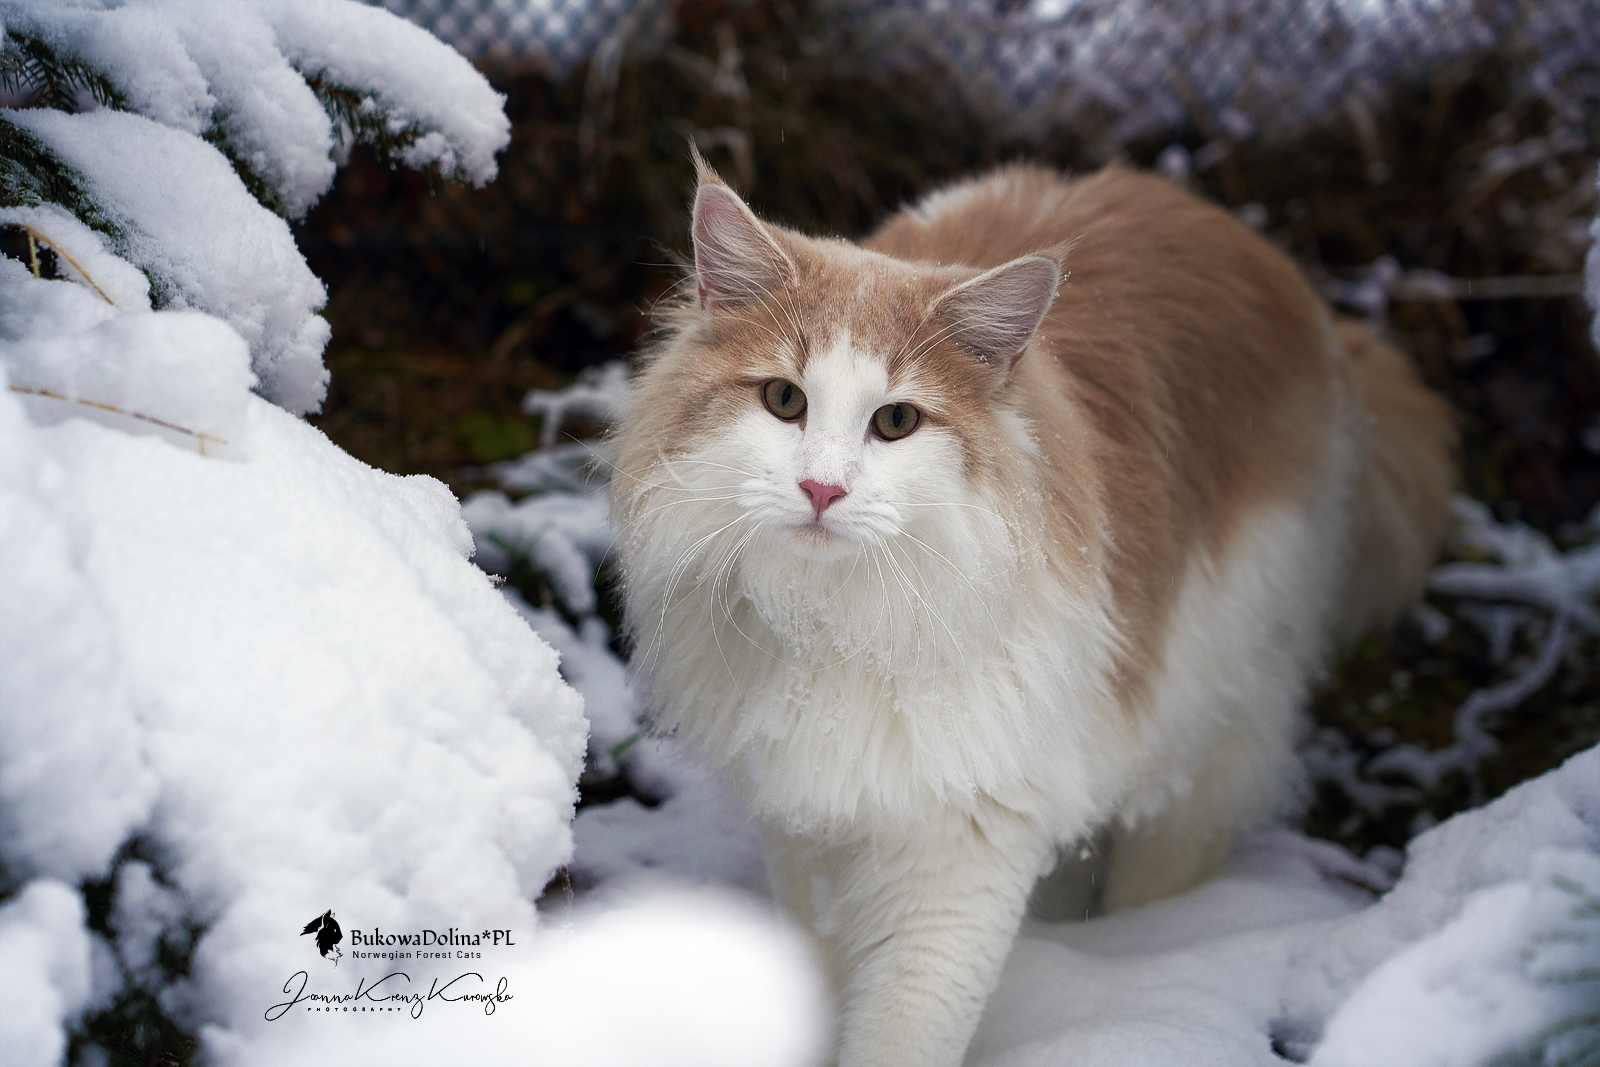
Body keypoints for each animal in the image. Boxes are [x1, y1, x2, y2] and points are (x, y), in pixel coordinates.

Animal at [610, 153, 1455, 1067]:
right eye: (784, 401)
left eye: (896, 421)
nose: (822, 489)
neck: (845, 623)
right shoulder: (810, 827)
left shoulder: (961, 848)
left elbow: (902, 1028)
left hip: (1209, 725)